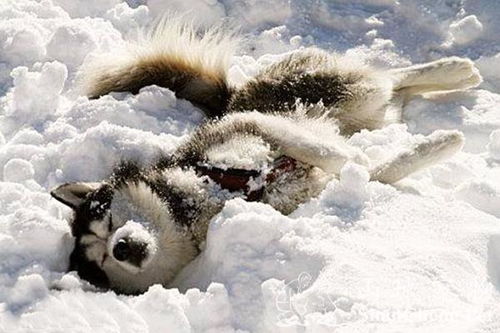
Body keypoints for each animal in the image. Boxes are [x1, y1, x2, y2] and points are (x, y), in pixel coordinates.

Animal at [50, 18, 480, 294]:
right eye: (102, 263)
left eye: (106, 223)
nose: (121, 248)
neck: (203, 200)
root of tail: (232, 94)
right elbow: (374, 172)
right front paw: (430, 148)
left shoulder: (254, 125)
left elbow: (326, 153)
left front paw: (353, 158)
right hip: (367, 113)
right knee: (393, 95)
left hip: (335, 94)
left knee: (391, 79)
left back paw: (457, 70)